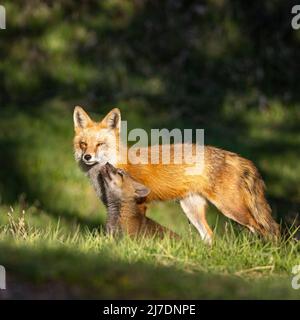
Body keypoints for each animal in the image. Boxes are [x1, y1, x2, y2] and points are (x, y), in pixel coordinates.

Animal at [74, 106, 280, 244]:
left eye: (100, 144)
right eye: (83, 144)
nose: (87, 157)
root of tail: (237, 157)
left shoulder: (140, 203)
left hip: (233, 209)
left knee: (267, 229)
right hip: (191, 209)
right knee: (209, 236)